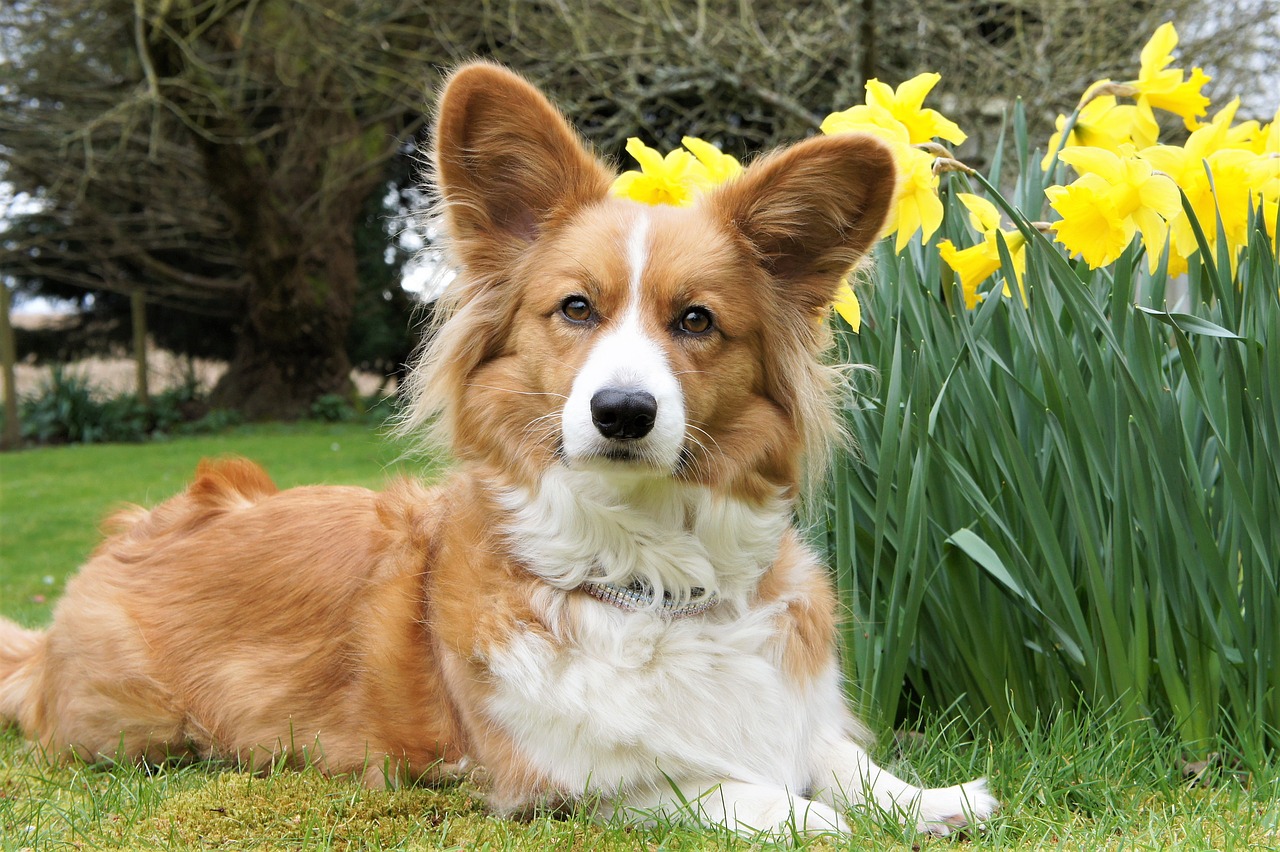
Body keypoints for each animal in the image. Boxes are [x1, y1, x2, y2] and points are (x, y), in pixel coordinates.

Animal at [0, 63, 998, 834]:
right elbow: (722, 785)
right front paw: (815, 815)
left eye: (696, 321)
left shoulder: (792, 707)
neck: (650, 579)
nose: (623, 412)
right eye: (576, 308)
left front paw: (927, 798)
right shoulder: (570, 780)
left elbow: (835, 755)